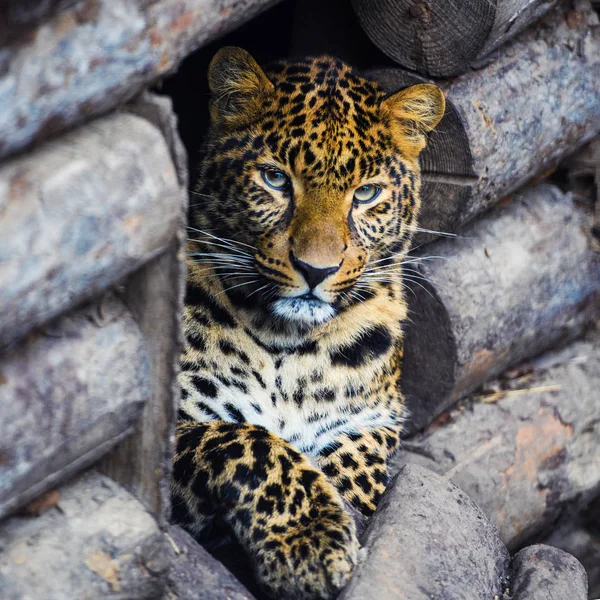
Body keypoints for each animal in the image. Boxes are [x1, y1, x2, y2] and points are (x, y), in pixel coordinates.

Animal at [170, 47, 446, 600]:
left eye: (367, 193)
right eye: (276, 179)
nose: (316, 270)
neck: (284, 344)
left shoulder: (373, 418)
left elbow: (355, 464)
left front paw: (337, 512)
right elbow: (248, 442)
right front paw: (310, 543)